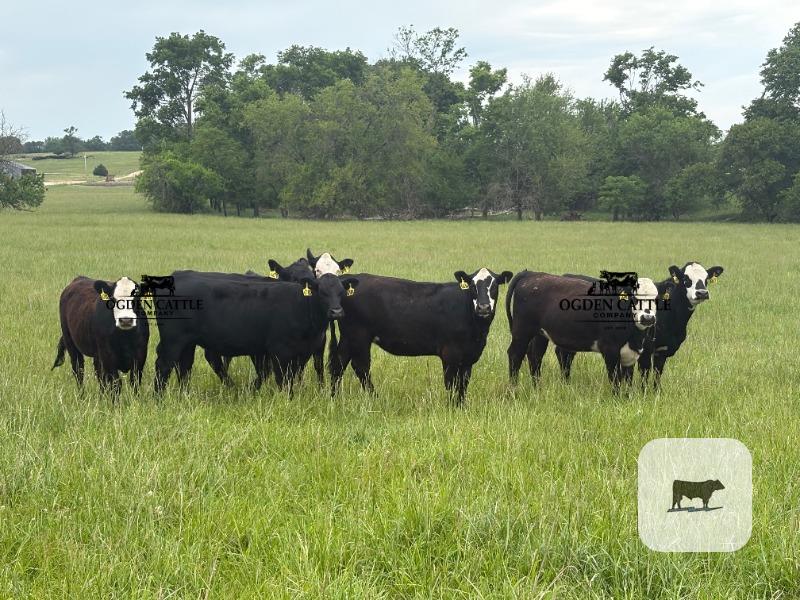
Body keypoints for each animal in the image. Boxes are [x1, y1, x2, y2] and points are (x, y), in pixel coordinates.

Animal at [153, 270, 358, 394]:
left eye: (341, 292)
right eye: (321, 292)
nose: (336, 312)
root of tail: (178, 275)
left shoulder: (302, 353)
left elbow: (290, 376)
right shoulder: (280, 350)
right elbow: (281, 378)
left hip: (187, 342)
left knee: (184, 367)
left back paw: (185, 395)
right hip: (173, 340)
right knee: (164, 365)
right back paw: (158, 398)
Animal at [329, 268, 513, 405]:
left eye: (494, 285)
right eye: (473, 285)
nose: (483, 307)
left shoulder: (468, 357)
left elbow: (463, 384)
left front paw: (461, 405)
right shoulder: (450, 354)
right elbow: (451, 383)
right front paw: (452, 407)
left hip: (349, 337)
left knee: (339, 364)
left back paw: (333, 397)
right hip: (358, 336)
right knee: (361, 367)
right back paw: (375, 399)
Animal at [505, 271, 658, 390]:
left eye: (656, 299)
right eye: (634, 298)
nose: (647, 318)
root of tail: (531, 274)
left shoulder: (630, 353)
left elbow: (628, 381)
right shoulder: (610, 349)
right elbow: (616, 379)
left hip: (540, 334)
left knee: (535, 356)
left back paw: (537, 388)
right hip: (522, 331)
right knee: (515, 355)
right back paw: (513, 388)